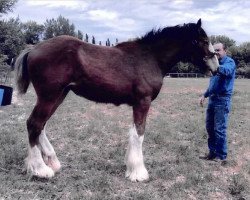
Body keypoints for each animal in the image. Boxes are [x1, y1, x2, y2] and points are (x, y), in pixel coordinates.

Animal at [15, 18, 219, 181]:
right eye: (204, 40)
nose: (216, 68)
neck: (150, 57)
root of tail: (33, 48)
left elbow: (134, 133)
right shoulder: (143, 102)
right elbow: (139, 134)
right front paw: (138, 173)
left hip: (58, 96)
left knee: (41, 126)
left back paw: (52, 162)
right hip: (49, 96)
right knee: (34, 124)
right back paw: (40, 169)